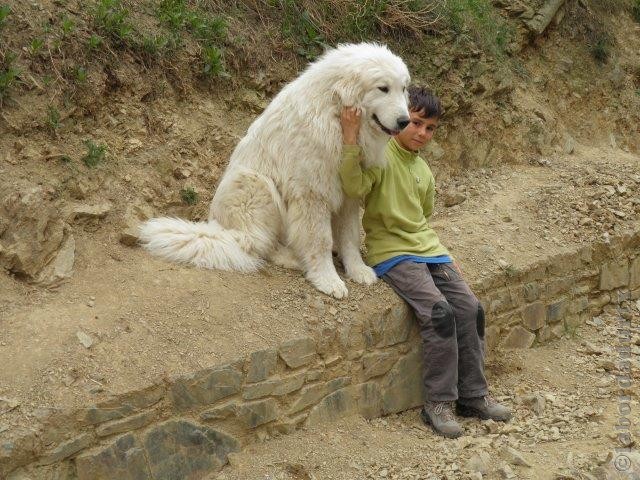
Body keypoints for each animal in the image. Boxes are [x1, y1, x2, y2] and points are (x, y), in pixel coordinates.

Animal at [140, 43, 410, 298]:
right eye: (383, 88)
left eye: (404, 89)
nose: (405, 121)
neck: (334, 113)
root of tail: (222, 229)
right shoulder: (312, 194)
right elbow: (319, 240)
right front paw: (327, 279)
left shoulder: (348, 194)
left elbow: (350, 236)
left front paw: (357, 270)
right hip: (256, 185)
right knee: (259, 245)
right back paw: (292, 257)